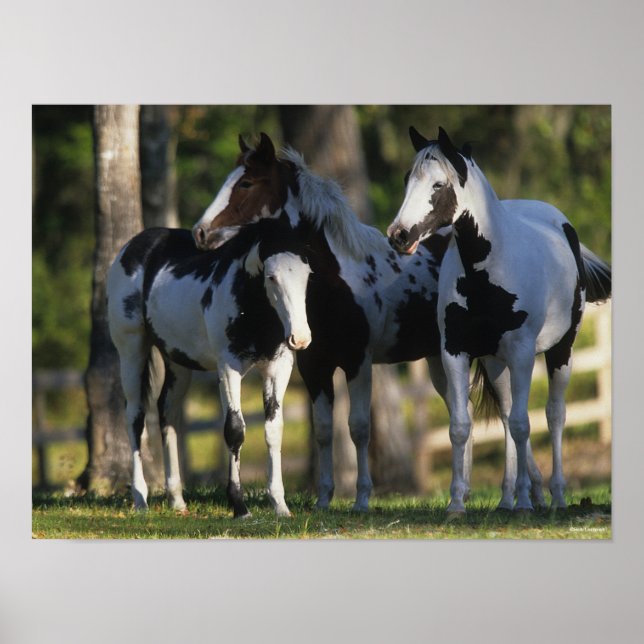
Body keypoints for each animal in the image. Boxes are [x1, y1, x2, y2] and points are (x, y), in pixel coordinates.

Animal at [107, 217, 313, 518]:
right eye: (272, 277)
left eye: (307, 275)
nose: (300, 338)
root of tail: (131, 248)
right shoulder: (228, 368)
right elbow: (235, 430)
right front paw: (239, 506)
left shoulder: (278, 368)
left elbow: (274, 431)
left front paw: (280, 506)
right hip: (132, 349)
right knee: (135, 416)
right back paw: (140, 500)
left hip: (176, 361)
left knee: (167, 413)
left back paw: (177, 499)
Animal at [192, 133, 546, 511]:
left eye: (246, 182)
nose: (200, 232)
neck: (337, 278)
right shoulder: (314, 365)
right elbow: (323, 430)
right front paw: (324, 500)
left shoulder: (357, 362)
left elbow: (359, 427)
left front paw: (362, 499)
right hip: (440, 360)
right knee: (462, 409)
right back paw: (469, 493)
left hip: (488, 355)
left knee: (508, 415)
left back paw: (526, 495)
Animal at [387, 126, 611, 513]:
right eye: (406, 179)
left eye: (438, 184)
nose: (399, 235)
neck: (487, 270)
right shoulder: (455, 351)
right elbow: (462, 425)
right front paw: (456, 504)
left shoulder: (522, 352)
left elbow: (525, 425)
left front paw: (528, 501)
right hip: (496, 362)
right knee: (507, 416)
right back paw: (508, 499)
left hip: (560, 352)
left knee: (553, 415)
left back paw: (554, 497)